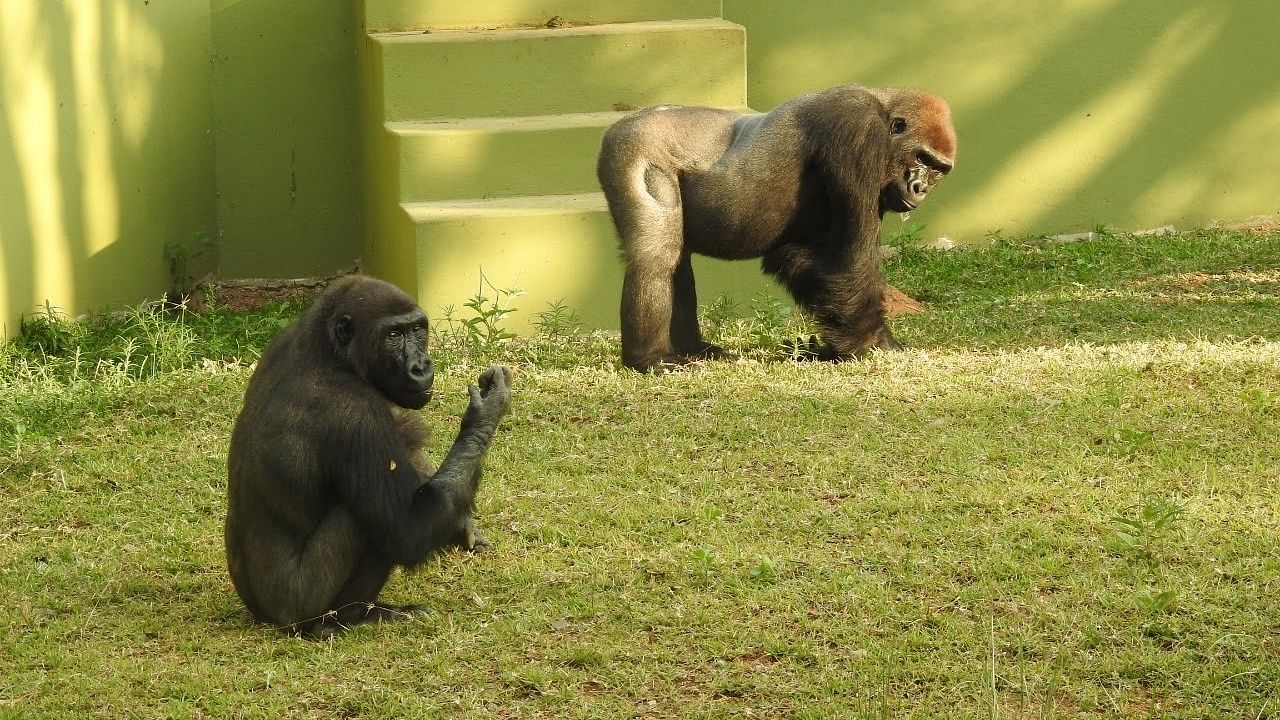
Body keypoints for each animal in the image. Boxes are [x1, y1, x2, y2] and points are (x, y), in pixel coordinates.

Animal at [225, 274, 509, 632]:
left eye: (418, 329)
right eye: (393, 335)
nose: (421, 366)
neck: (330, 351)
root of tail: (263, 617)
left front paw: (460, 523)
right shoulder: (356, 412)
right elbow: (407, 527)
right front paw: (485, 414)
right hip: (297, 608)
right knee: (365, 521)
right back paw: (349, 618)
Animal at [593, 83, 957, 368]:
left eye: (938, 170)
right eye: (922, 158)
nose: (920, 188)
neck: (883, 105)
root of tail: (619, 125)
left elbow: (801, 260)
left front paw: (825, 349)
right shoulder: (857, 128)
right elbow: (852, 259)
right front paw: (874, 344)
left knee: (677, 261)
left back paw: (693, 348)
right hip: (632, 149)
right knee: (656, 257)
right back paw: (649, 359)